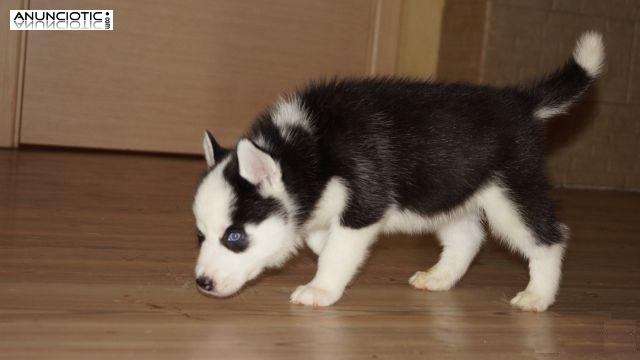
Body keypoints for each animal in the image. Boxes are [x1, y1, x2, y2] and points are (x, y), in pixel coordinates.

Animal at [192, 32, 604, 310]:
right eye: (201, 236)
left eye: (234, 237)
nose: (202, 283)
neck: (313, 150)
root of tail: (519, 101)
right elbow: (321, 242)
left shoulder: (363, 207)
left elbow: (337, 251)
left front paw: (321, 288)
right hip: (448, 192)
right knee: (468, 238)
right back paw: (439, 277)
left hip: (512, 195)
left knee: (549, 238)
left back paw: (538, 295)